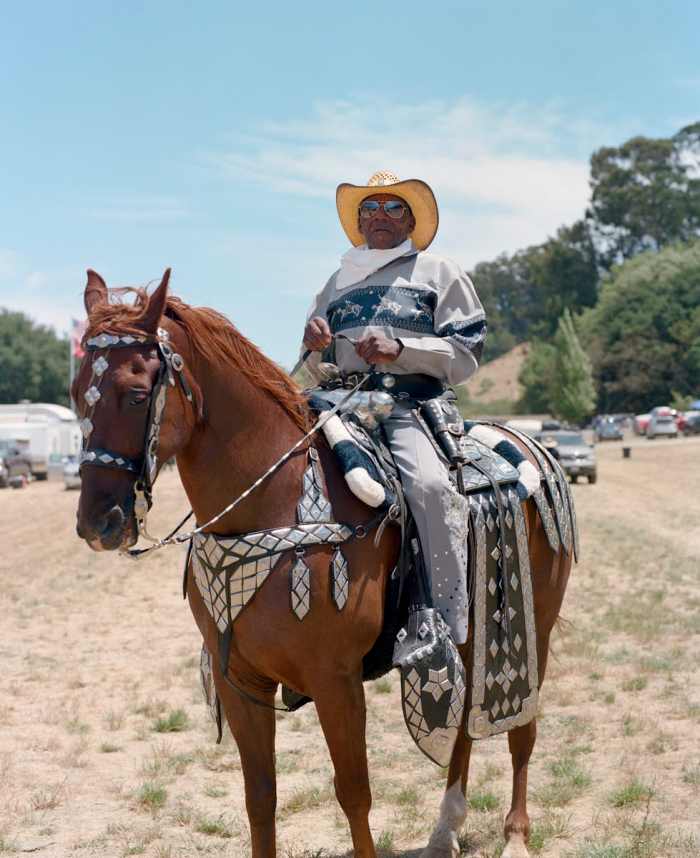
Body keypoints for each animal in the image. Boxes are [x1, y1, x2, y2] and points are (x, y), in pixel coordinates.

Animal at [74, 270, 572, 856]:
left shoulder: (336, 679)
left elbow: (354, 793)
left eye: (134, 395)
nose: (97, 521)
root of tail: (526, 443)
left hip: (534, 626)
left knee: (522, 725)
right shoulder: (239, 680)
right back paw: (445, 828)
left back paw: (515, 834)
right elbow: (260, 797)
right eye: (76, 395)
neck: (275, 499)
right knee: (466, 722)